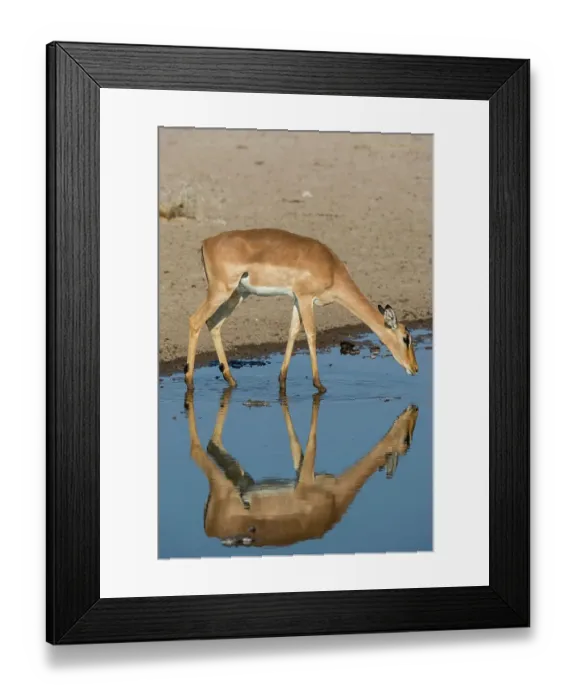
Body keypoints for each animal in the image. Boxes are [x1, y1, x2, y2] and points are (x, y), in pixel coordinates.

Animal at [184, 228, 419, 393]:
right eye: (406, 338)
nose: (415, 368)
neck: (331, 268)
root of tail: (206, 243)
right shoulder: (306, 299)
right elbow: (311, 334)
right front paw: (319, 385)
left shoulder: (296, 300)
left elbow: (293, 332)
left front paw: (282, 381)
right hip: (221, 291)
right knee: (195, 320)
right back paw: (189, 381)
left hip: (237, 295)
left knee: (213, 323)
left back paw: (230, 379)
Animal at [185, 387, 419, 549]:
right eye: (406, 441)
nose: (414, 409)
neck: (335, 500)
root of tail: (208, 528)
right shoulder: (306, 478)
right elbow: (311, 442)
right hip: (221, 485)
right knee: (196, 451)